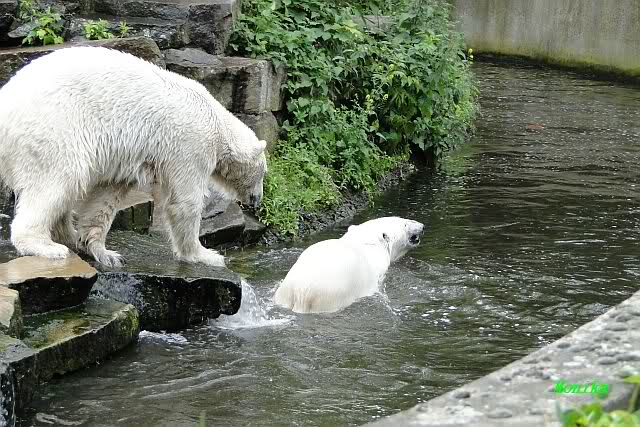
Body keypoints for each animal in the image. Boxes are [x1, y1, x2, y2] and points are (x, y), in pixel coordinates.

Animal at [0, 46, 267, 267]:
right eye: (263, 173)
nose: (257, 200)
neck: (216, 121)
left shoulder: (125, 157)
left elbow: (105, 198)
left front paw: (105, 252)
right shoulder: (190, 146)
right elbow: (184, 202)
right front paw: (205, 255)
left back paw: (69, 237)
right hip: (54, 129)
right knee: (57, 181)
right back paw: (46, 246)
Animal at [273, 217, 424, 313]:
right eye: (404, 224)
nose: (422, 226)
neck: (367, 242)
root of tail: (301, 293)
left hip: (284, 293)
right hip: (330, 296)